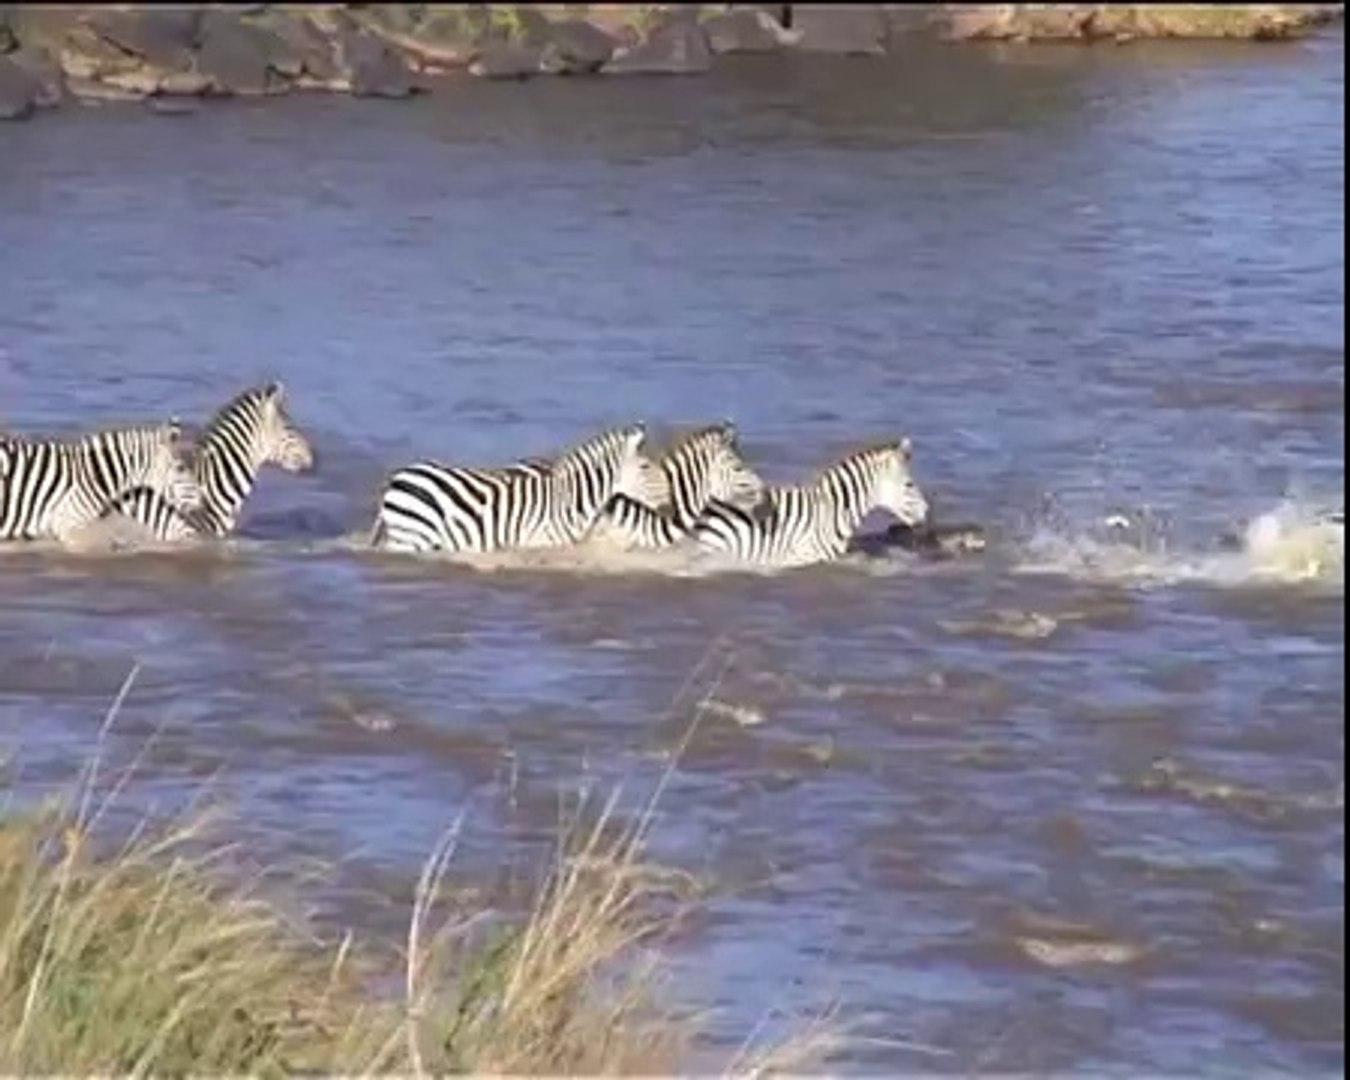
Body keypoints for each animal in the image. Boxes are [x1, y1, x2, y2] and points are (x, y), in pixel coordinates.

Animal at [369, 422, 671, 555]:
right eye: (645, 466)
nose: (670, 500)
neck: (569, 501)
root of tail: (399, 476)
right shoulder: (541, 543)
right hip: (410, 537)